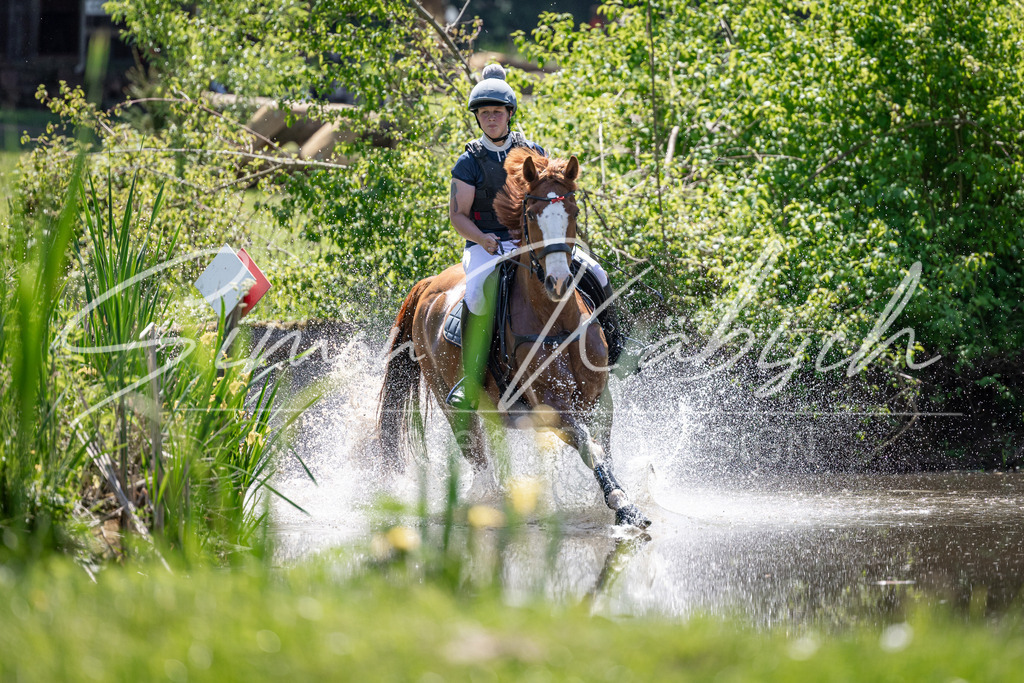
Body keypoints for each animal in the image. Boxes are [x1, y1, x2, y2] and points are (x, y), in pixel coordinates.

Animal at [377, 147, 650, 529]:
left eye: (573, 212)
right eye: (532, 215)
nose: (558, 282)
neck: (555, 320)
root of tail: (429, 284)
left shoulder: (599, 399)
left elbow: (603, 448)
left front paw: (620, 499)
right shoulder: (553, 406)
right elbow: (591, 448)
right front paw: (624, 506)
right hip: (451, 401)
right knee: (477, 457)